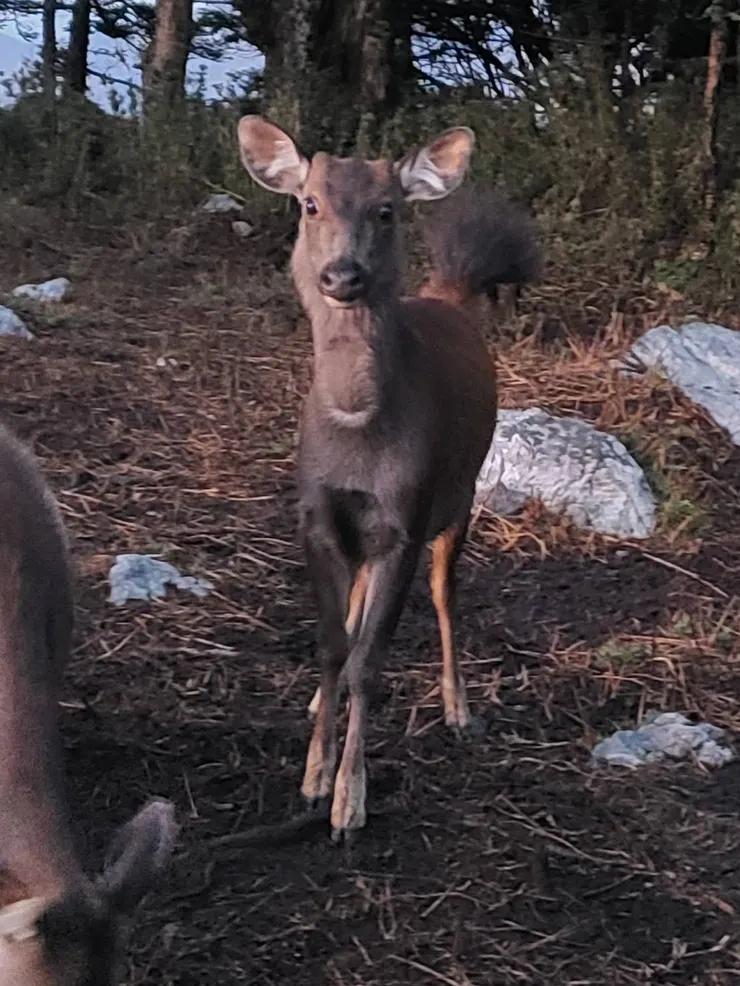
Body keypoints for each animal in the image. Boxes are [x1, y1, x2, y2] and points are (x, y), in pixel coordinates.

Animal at [236, 116, 542, 843]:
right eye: (309, 203)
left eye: (386, 209)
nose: (341, 273)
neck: (356, 429)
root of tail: (451, 295)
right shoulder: (318, 516)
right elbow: (331, 645)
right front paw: (313, 776)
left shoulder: (406, 516)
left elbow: (371, 663)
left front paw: (350, 803)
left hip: (461, 494)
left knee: (445, 596)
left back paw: (459, 709)